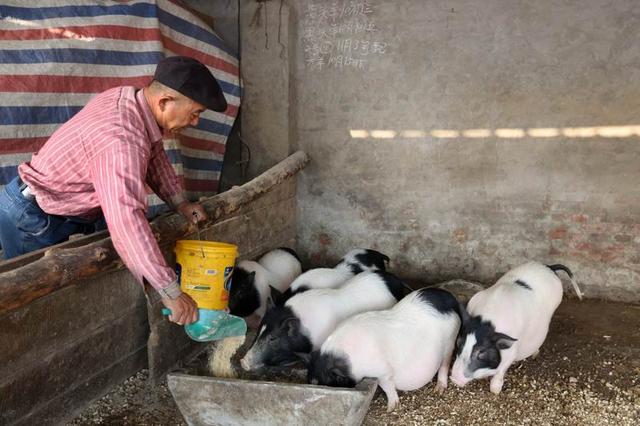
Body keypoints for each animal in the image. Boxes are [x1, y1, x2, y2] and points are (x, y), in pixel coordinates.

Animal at [308, 288, 460, 412]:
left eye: (332, 381)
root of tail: (452, 299)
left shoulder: (382, 371)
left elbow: (387, 387)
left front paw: (390, 408)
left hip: (450, 340)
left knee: (445, 363)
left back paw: (438, 390)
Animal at [450, 262, 580, 394]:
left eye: (481, 353)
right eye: (459, 343)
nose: (453, 378)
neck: (486, 321)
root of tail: (549, 267)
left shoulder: (512, 352)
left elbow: (501, 371)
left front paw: (495, 391)